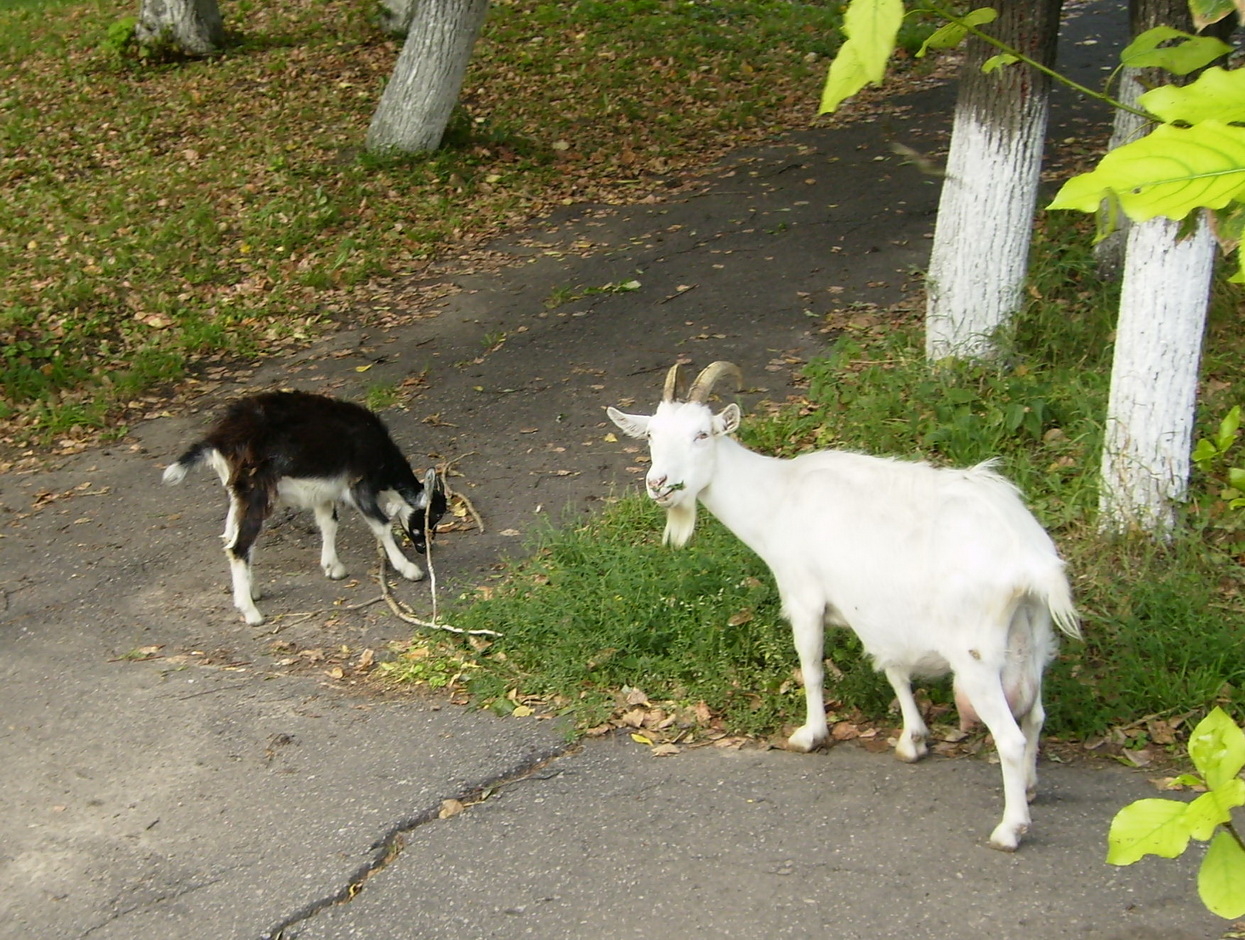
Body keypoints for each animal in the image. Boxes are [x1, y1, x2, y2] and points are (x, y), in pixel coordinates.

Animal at [610, 361, 1080, 851]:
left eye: (701, 434)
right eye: (651, 435)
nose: (659, 484)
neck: (777, 497)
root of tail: (1031, 562)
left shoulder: (804, 595)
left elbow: (812, 666)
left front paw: (810, 735)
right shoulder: (876, 612)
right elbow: (893, 668)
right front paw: (913, 740)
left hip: (977, 655)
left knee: (1010, 738)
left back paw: (1010, 828)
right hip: (1034, 636)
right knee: (1036, 715)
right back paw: (1030, 788)